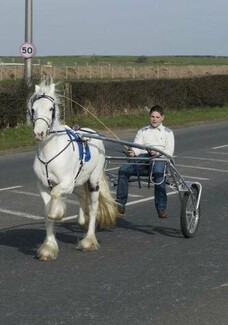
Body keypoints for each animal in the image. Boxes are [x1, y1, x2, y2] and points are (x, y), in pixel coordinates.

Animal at [27, 78, 118, 260]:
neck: (49, 152)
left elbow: (55, 199)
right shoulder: (43, 186)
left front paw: (58, 212)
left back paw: (89, 240)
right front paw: (48, 247)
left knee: (93, 207)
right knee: (82, 196)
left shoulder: (66, 183)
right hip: (78, 183)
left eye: (51, 108)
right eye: (33, 109)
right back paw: (82, 219)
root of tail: (92, 133)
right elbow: (47, 213)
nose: (39, 133)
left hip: (93, 181)